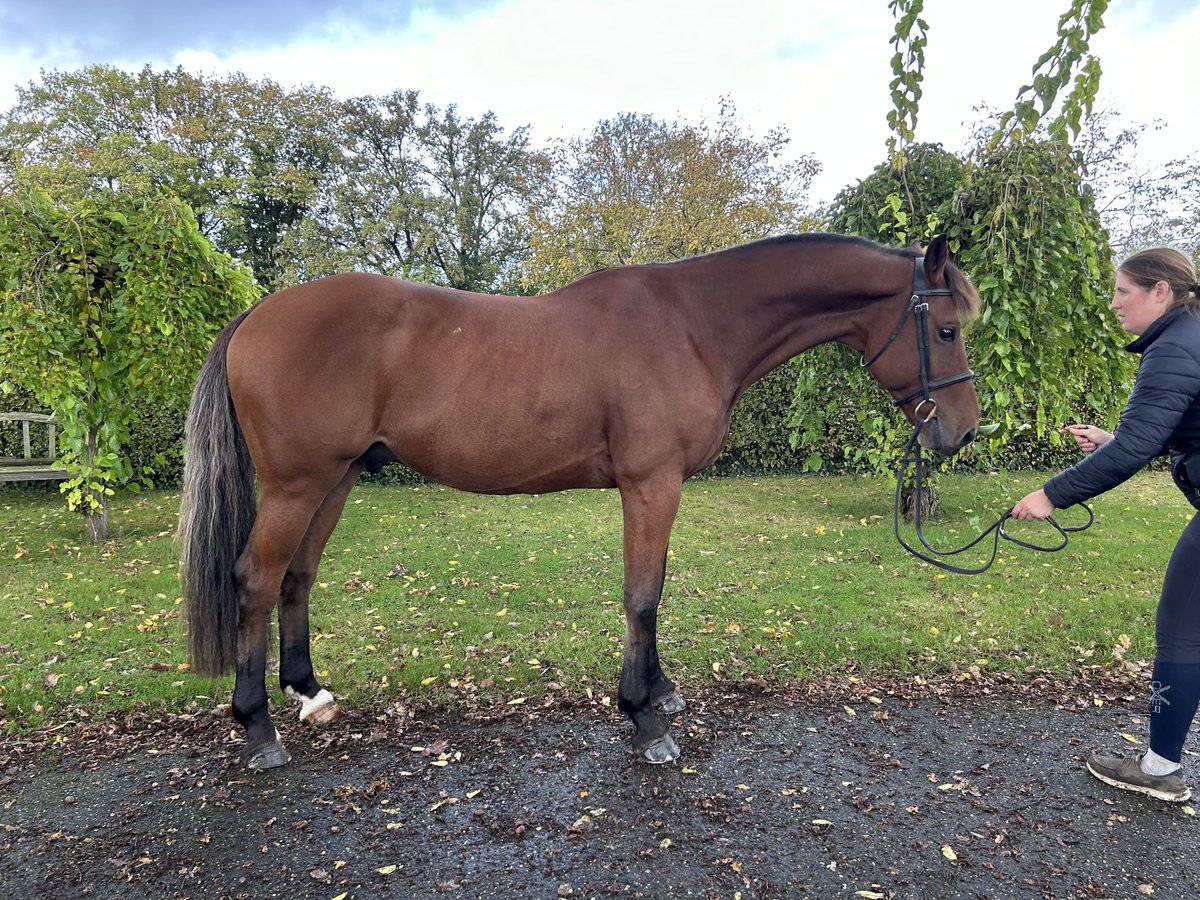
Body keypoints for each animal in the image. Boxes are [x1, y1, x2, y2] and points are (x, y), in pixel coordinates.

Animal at [182, 232, 979, 768]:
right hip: (298, 484)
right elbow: (642, 596)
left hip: (338, 477)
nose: (964, 431)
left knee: (298, 576)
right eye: (946, 329)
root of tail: (256, 317)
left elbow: (656, 589)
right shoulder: (651, 484)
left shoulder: (659, 488)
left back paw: (309, 693)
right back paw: (258, 728)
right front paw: (645, 720)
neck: (692, 326)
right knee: (255, 580)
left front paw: (660, 692)